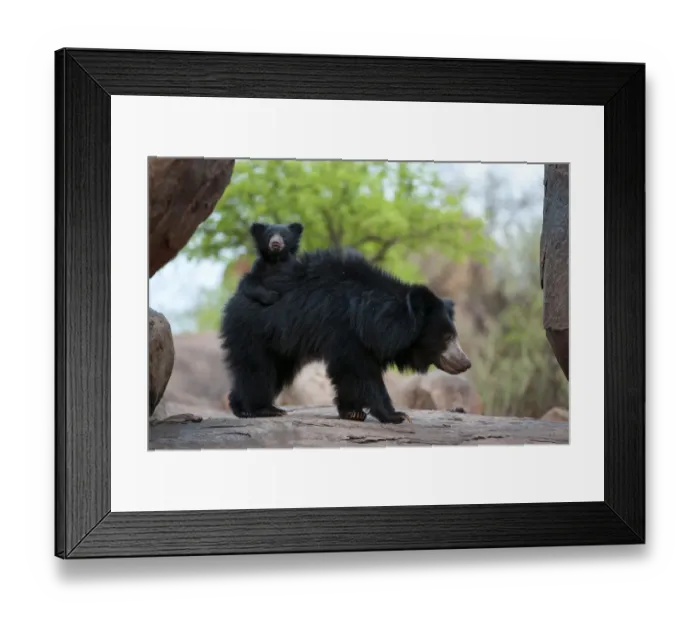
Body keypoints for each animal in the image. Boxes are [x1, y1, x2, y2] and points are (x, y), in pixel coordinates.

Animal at [220, 247, 472, 425]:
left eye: (454, 335)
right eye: (447, 337)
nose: (466, 363)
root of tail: (235, 296)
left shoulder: (362, 337)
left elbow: (348, 373)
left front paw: (352, 412)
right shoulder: (345, 329)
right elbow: (359, 371)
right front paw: (397, 415)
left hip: (279, 343)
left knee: (272, 370)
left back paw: (242, 406)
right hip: (256, 329)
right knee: (257, 368)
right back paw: (261, 409)